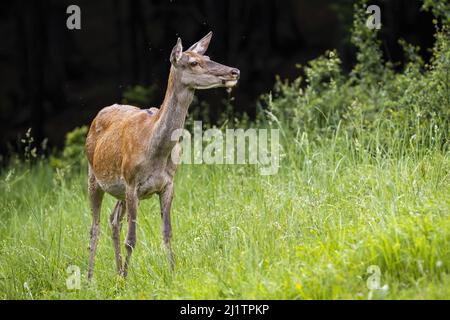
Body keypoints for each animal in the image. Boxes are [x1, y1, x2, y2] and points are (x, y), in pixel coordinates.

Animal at [84, 31, 239, 278]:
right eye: (193, 62)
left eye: (208, 56)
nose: (235, 71)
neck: (154, 150)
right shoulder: (132, 183)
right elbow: (131, 239)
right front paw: (127, 280)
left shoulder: (168, 184)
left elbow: (167, 233)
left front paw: (173, 274)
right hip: (93, 176)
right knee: (94, 227)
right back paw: (91, 278)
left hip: (118, 190)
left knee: (114, 219)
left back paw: (116, 272)